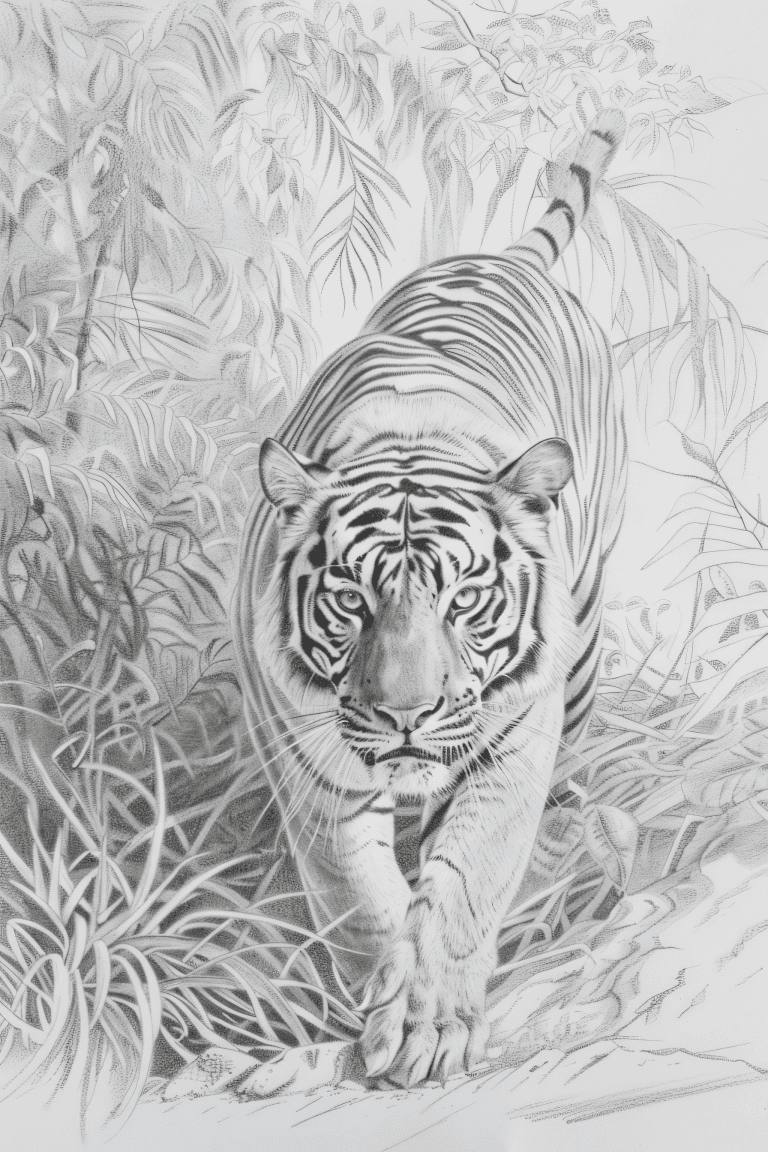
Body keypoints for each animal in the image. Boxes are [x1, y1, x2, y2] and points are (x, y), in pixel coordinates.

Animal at [232, 109, 627, 1088]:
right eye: (350, 600)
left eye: (465, 599)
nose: (406, 715)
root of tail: (509, 257)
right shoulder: (304, 755)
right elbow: (361, 897)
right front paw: (388, 1016)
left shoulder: (512, 737)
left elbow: (468, 879)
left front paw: (431, 1026)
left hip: (584, 640)